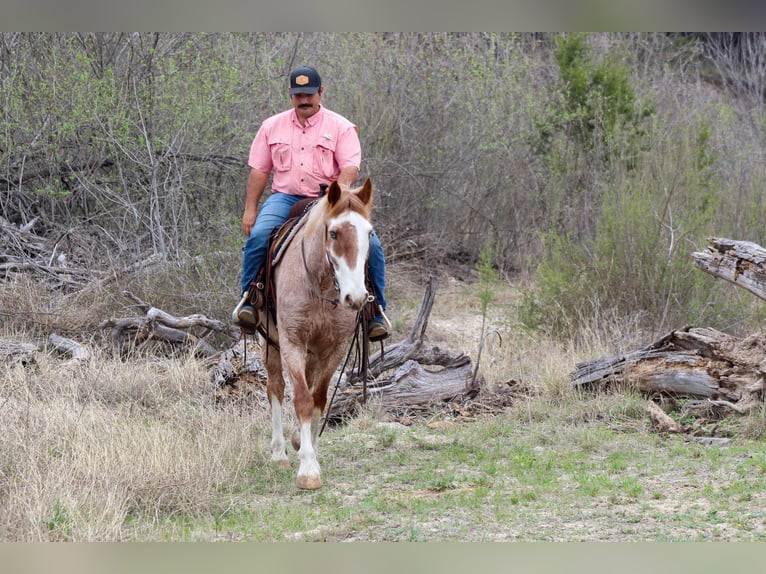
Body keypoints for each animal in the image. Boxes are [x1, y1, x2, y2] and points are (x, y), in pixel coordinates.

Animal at [260, 178, 374, 490]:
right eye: (333, 233)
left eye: (369, 233)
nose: (355, 297)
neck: (321, 286)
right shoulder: (292, 342)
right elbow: (302, 398)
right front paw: (308, 470)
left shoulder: (334, 348)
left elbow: (318, 398)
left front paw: (308, 447)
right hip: (271, 342)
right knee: (276, 387)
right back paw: (278, 453)